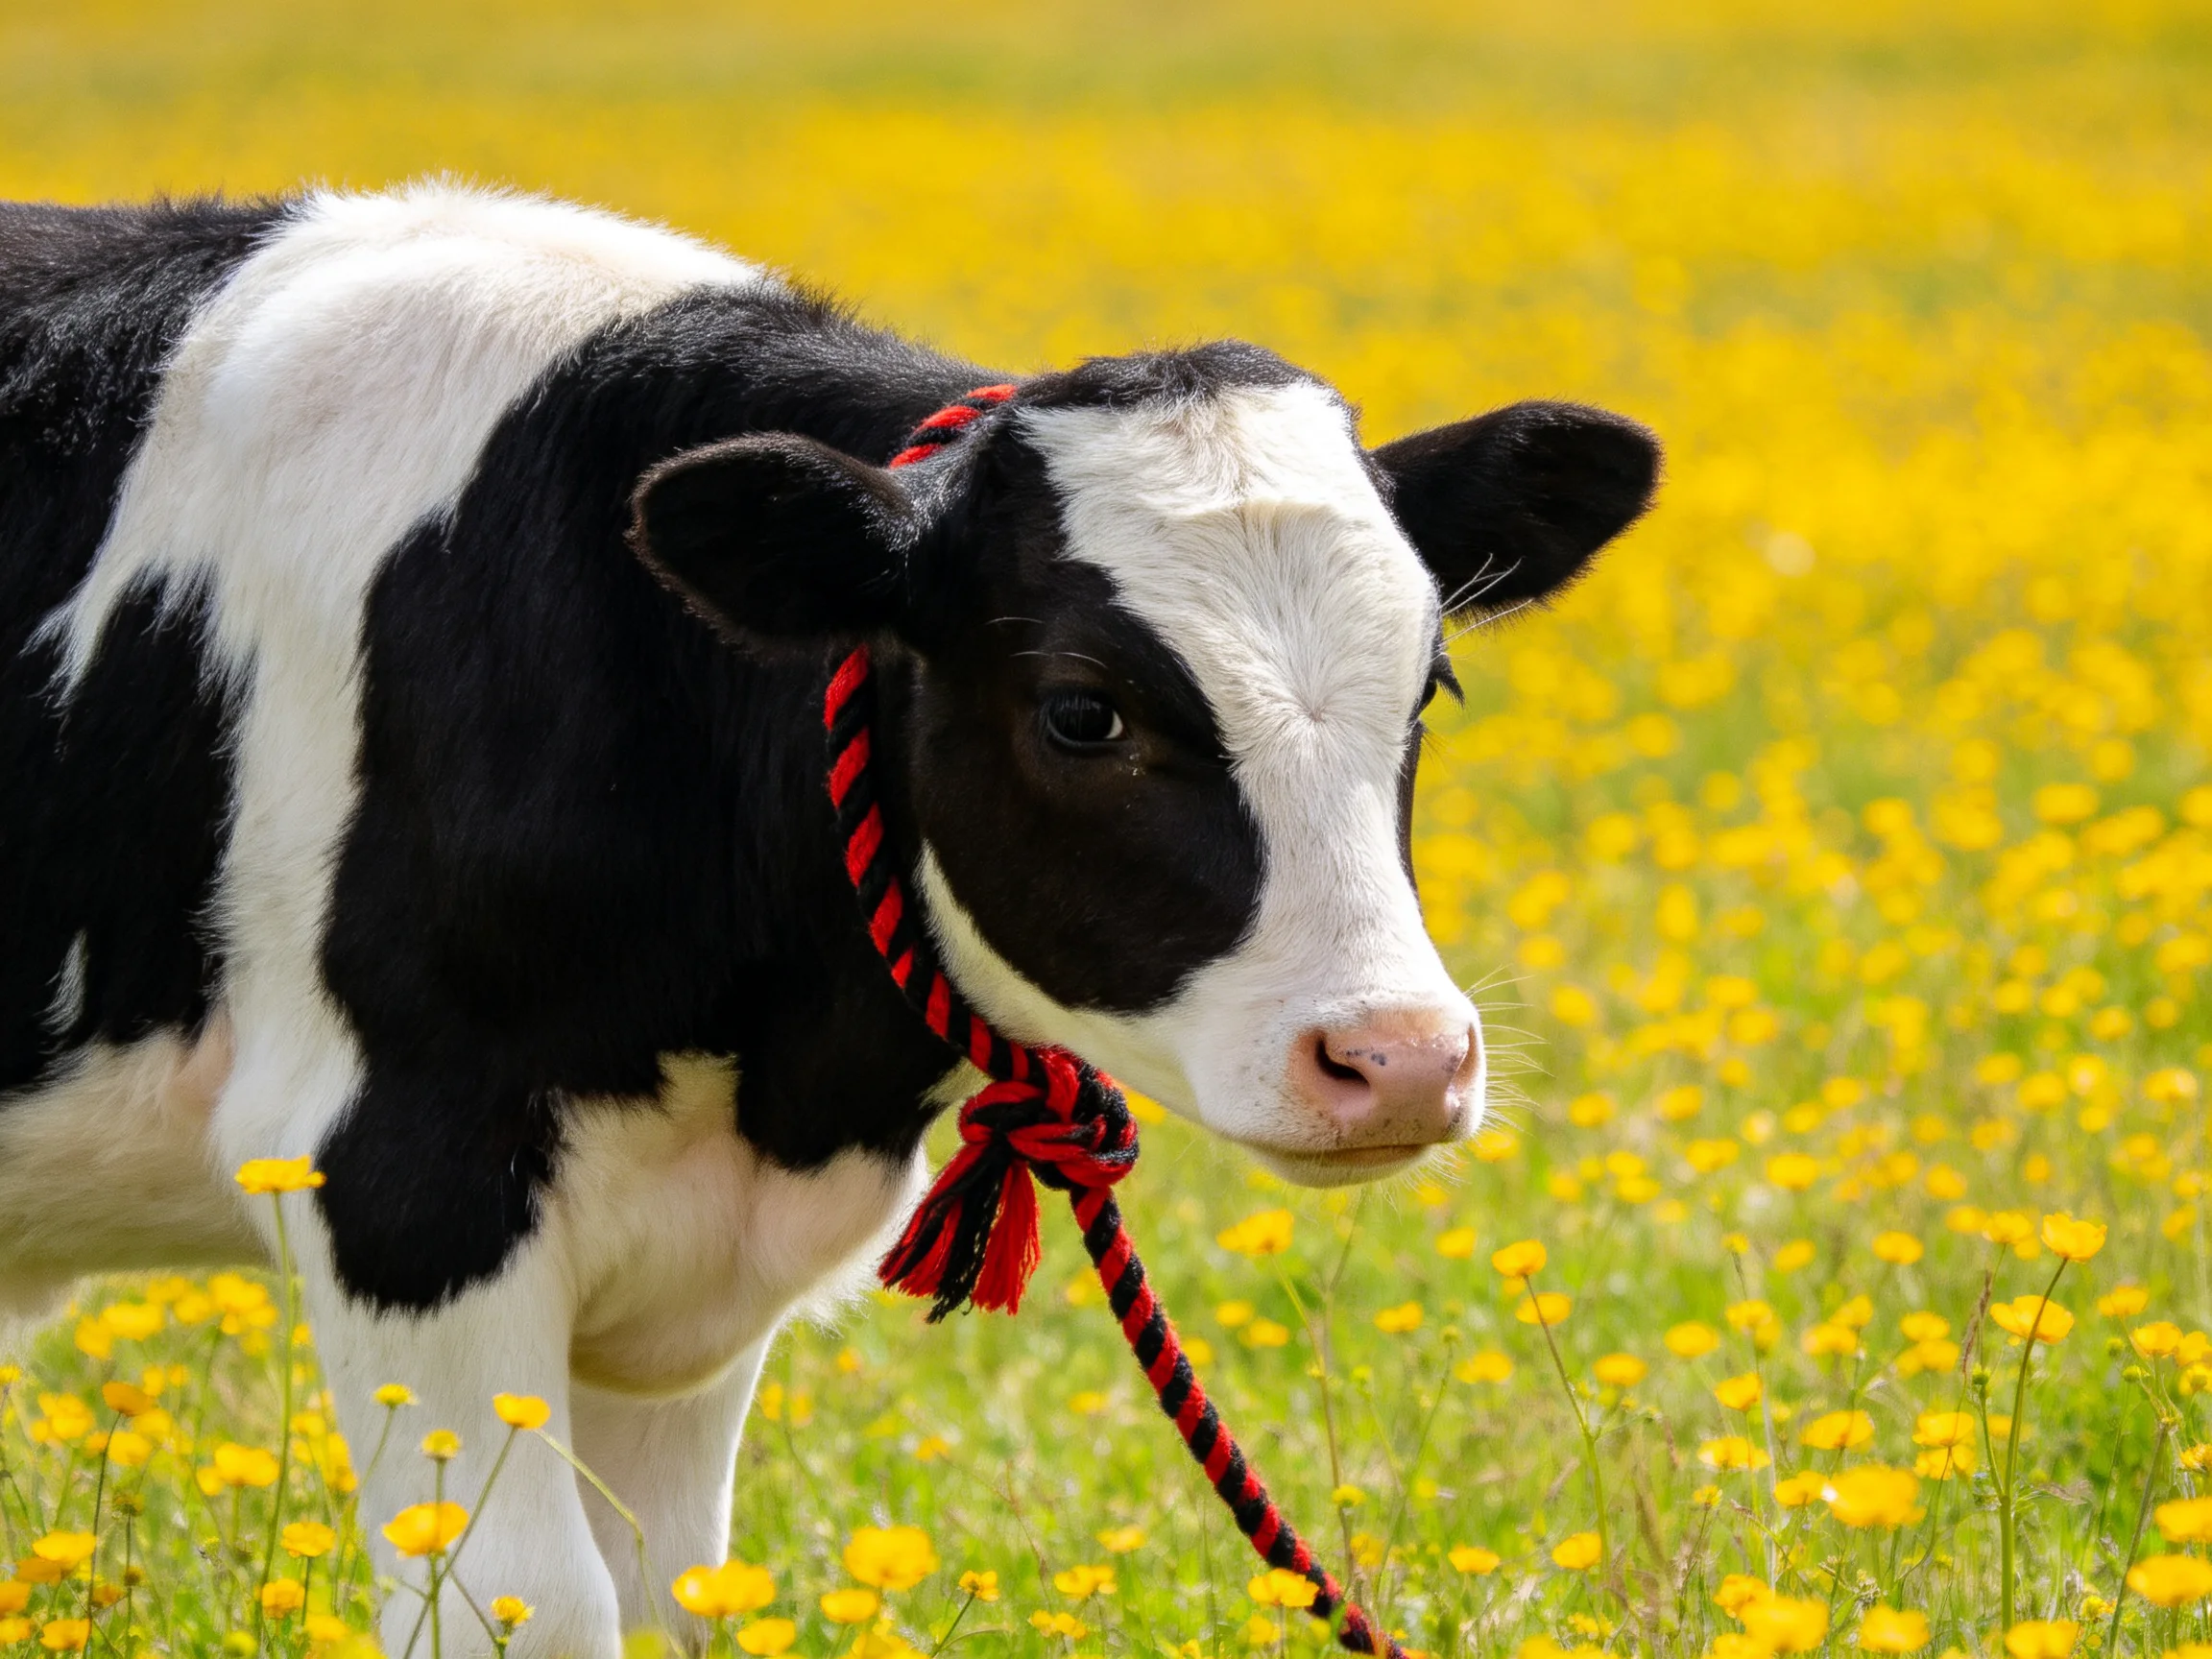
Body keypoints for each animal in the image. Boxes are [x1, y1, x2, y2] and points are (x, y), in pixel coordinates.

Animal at [0, 183, 1657, 1654]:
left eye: (1430, 682)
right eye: (1084, 711)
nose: (1400, 1059)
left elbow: (674, 1598)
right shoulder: (401, 1178)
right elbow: (529, 1606)